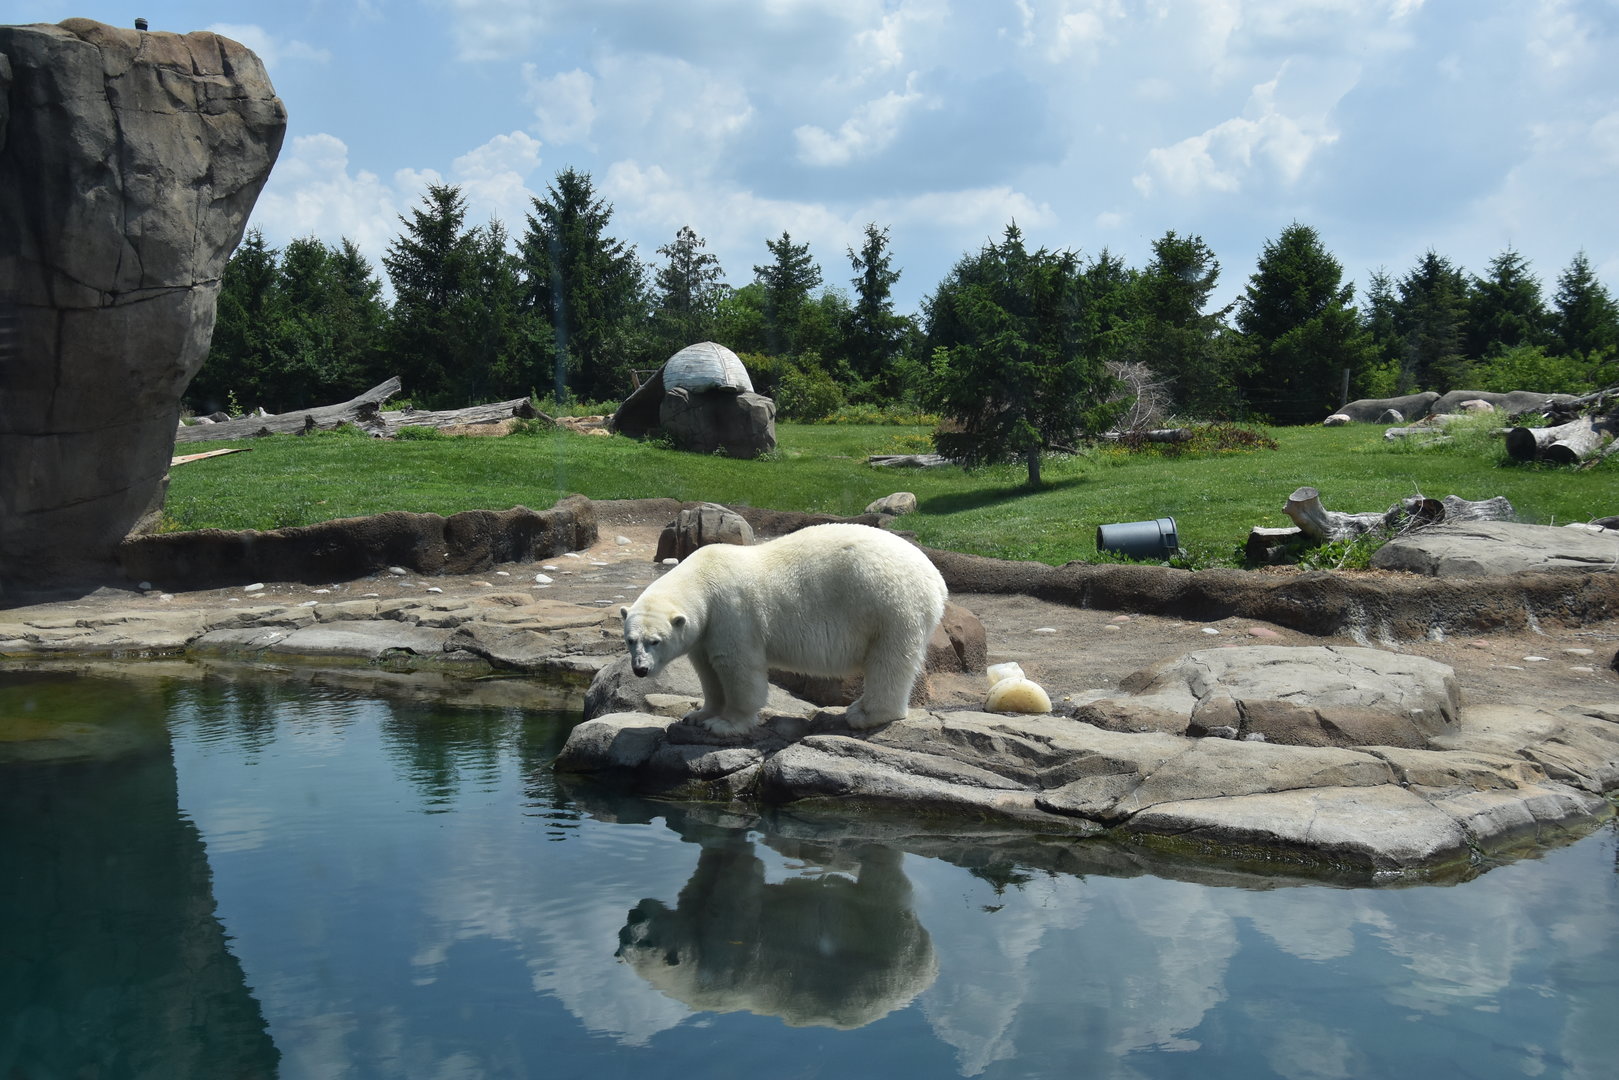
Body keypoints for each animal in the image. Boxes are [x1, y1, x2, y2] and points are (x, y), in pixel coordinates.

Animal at [619, 522, 948, 736]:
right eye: (630, 640)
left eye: (656, 641)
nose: (640, 670)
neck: (702, 575)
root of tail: (936, 579)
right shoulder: (706, 630)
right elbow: (707, 671)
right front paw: (698, 715)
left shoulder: (732, 612)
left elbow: (737, 668)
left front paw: (725, 724)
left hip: (889, 605)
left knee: (889, 660)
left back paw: (865, 715)